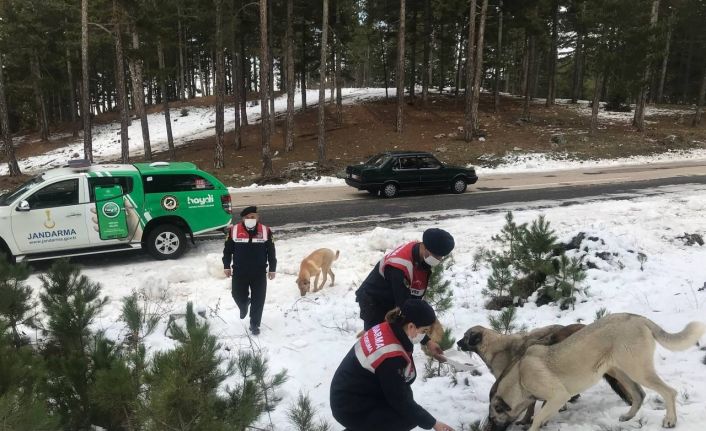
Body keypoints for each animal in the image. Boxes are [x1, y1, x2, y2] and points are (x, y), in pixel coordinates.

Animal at [482, 314, 700, 431]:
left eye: (492, 419)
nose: (488, 427)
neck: (519, 379)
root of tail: (637, 318)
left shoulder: (558, 396)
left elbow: (537, 418)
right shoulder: (551, 400)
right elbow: (540, 414)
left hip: (637, 370)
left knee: (669, 392)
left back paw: (670, 420)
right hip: (620, 372)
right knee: (639, 394)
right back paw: (628, 417)